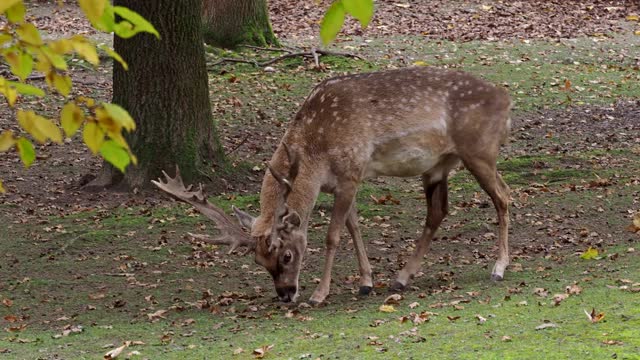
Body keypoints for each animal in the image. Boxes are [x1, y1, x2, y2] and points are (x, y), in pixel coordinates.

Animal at [152, 66, 512, 306]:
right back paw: (401, 278)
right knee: (438, 212)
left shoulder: (352, 172)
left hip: (480, 151)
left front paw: (320, 294)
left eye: (286, 255)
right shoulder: (340, 183)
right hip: (438, 166)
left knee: (503, 197)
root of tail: (506, 98)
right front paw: (366, 283)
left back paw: (498, 268)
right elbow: (354, 227)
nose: (286, 295)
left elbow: (332, 235)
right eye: (258, 261)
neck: (316, 153)